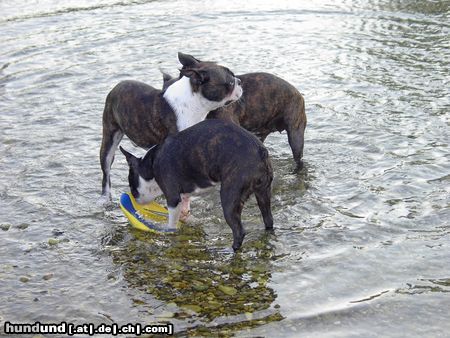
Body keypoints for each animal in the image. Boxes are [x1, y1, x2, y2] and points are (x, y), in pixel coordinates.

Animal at [120, 119, 274, 251]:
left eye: (132, 188)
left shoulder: (172, 196)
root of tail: (260, 151)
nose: (134, 197)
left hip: (230, 198)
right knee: (268, 218)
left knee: (239, 231)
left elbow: (172, 221)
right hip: (263, 194)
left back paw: (229, 250)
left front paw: (169, 230)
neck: (150, 165)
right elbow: (185, 207)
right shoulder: (184, 194)